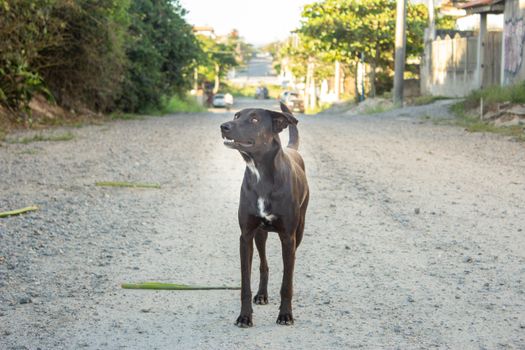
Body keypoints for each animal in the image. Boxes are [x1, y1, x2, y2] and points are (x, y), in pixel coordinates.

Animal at [219, 102, 310, 326]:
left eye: (254, 119)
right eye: (236, 115)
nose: (224, 126)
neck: (260, 174)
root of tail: (292, 150)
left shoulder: (288, 237)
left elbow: (287, 282)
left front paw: (285, 314)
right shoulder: (246, 236)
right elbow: (245, 282)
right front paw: (245, 316)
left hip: (299, 231)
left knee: (290, 266)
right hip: (261, 235)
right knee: (264, 265)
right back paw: (262, 294)